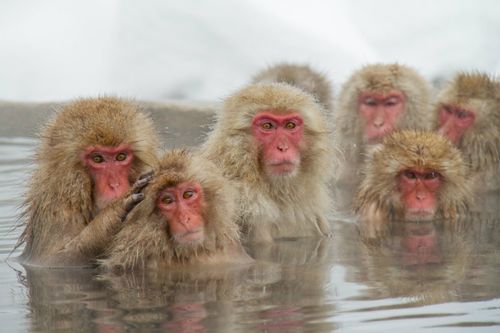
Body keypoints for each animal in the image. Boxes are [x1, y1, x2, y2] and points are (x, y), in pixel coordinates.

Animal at [16, 96, 160, 264]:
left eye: (121, 156)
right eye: (97, 158)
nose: (114, 185)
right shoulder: (56, 207)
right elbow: (53, 260)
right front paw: (119, 207)